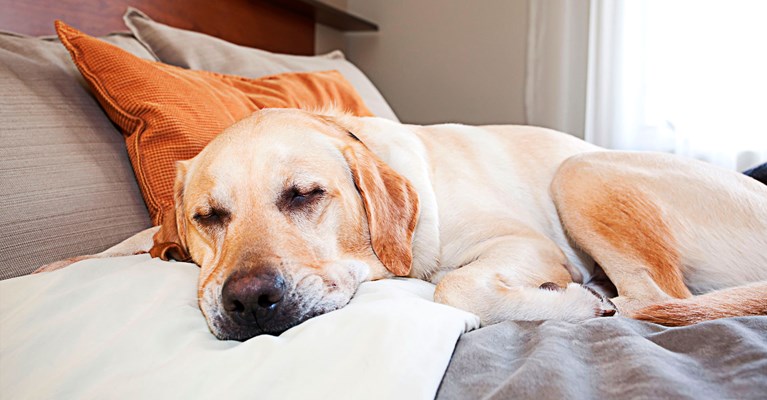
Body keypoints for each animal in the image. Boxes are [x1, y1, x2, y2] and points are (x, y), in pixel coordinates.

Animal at [36, 108, 767, 340]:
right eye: (208, 217)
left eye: (305, 195)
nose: (247, 301)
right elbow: (135, 241)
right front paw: (56, 264)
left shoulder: (521, 242)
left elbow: (455, 286)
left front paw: (572, 302)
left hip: (580, 173)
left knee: (650, 300)